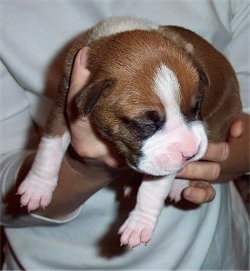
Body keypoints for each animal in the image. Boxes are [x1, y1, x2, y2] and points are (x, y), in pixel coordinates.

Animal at [17, 18, 240, 250]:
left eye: (197, 108)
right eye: (145, 124)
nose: (190, 152)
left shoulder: (165, 160)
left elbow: (153, 189)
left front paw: (140, 223)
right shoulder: (64, 103)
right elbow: (50, 144)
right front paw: (37, 184)